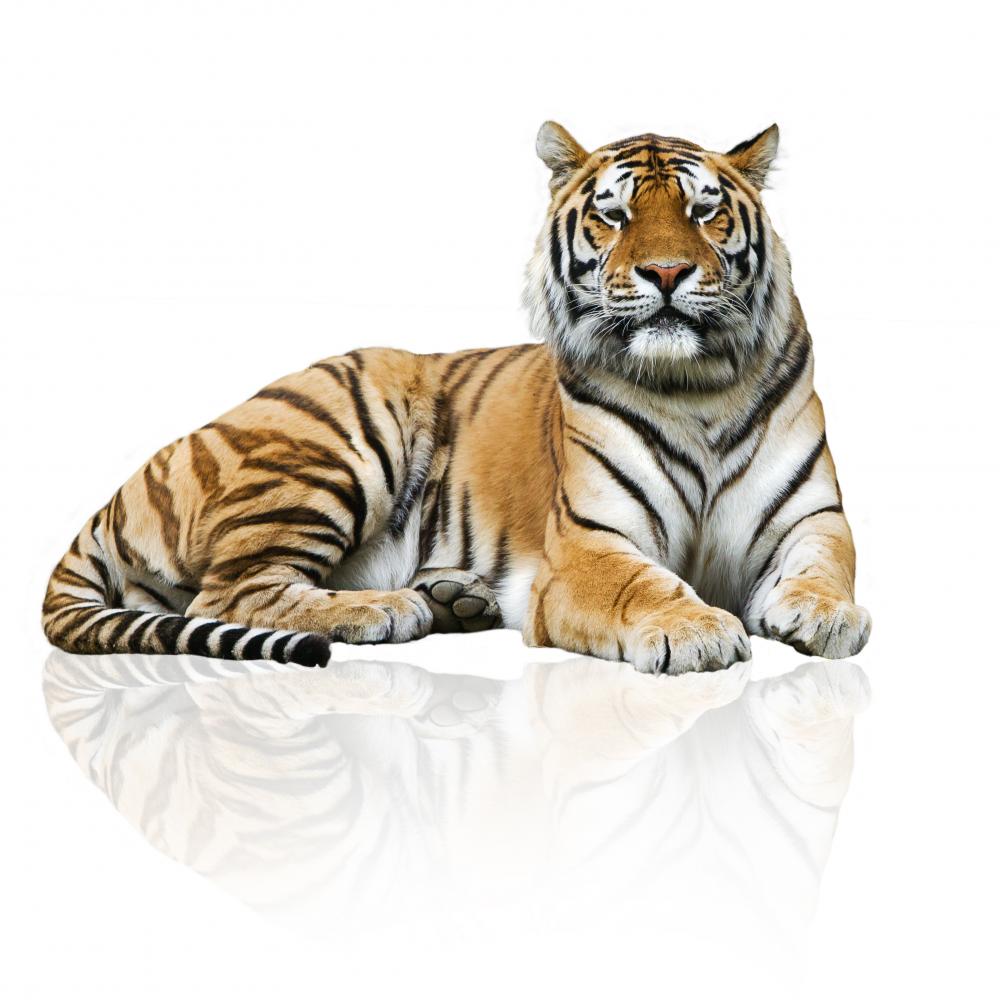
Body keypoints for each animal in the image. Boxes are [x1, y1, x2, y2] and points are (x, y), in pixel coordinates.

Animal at [42, 122, 871, 673]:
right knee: (226, 593)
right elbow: (642, 582)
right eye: (614, 215)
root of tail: (120, 492)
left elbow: (824, 565)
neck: (697, 388)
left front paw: (826, 616)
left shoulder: (812, 517)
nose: (666, 273)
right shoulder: (590, 541)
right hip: (337, 444)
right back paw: (387, 609)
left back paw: (455, 599)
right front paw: (696, 629)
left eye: (704, 211)